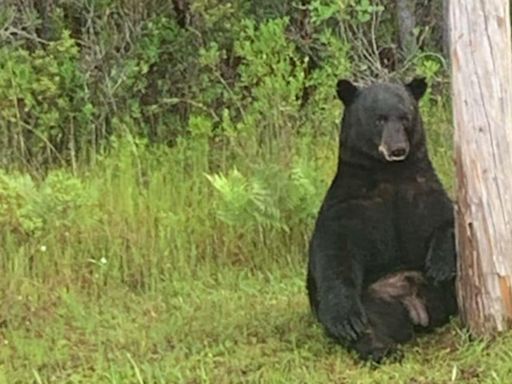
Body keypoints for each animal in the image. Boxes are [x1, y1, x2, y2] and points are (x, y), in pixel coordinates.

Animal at [306, 79, 458, 364]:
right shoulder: (350, 205)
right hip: (374, 300)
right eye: (379, 119)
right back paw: (381, 348)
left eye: (405, 117)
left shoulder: (423, 191)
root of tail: (415, 307)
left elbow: (448, 218)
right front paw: (344, 320)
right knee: (369, 324)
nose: (397, 149)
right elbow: (335, 252)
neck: (390, 173)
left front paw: (441, 265)